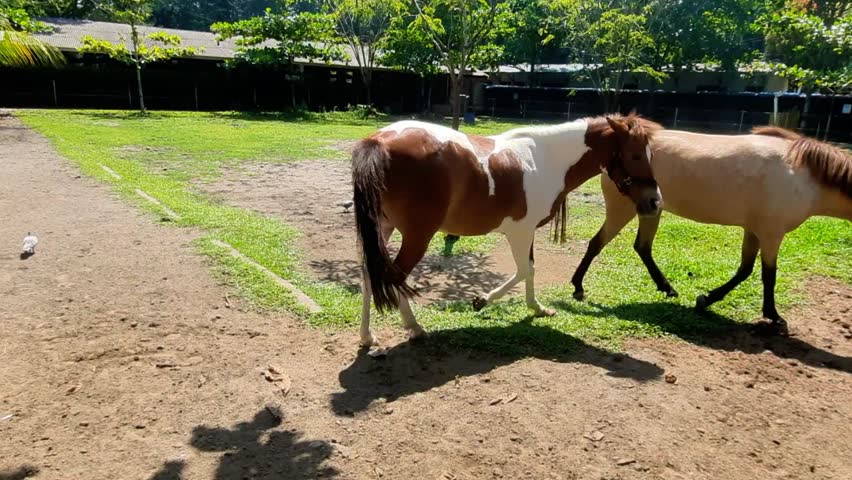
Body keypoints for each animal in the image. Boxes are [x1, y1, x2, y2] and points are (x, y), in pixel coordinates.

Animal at [351, 114, 663, 347]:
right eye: (636, 155)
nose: (654, 201)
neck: (546, 159)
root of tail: (379, 140)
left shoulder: (528, 232)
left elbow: (531, 269)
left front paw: (536, 308)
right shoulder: (520, 232)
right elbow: (524, 270)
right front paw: (481, 301)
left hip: (382, 229)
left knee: (368, 274)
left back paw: (367, 336)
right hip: (417, 236)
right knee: (395, 276)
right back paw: (414, 327)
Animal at [570, 126, 852, 335]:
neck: (802, 173)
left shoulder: (754, 230)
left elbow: (745, 270)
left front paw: (706, 299)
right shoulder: (772, 233)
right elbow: (768, 275)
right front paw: (773, 316)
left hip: (650, 210)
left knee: (642, 247)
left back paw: (667, 288)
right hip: (624, 210)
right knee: (598, 243)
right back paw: (578, 287)